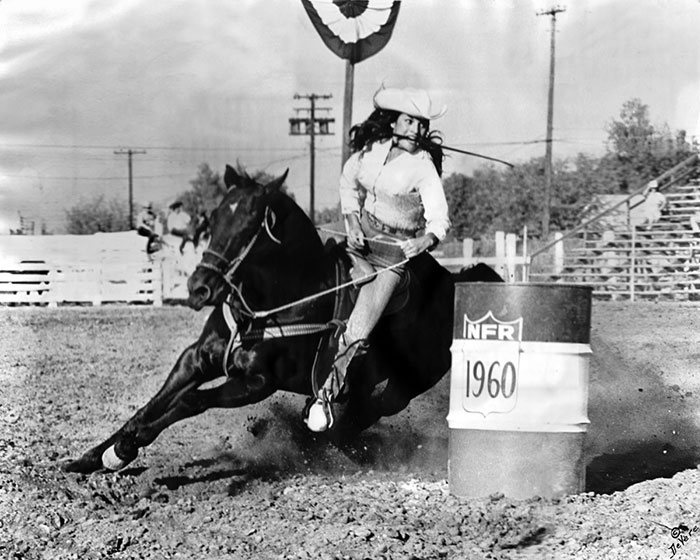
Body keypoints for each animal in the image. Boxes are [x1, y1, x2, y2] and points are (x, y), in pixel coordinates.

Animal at [65, 165, 500, 472]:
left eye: (249, 225)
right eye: (215, 218)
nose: (199, 288)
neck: (264, 306)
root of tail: (456, 282)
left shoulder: (258, 382)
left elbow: (189, 400)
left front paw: (125, 448)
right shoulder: (197, 358)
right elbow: (153, 404)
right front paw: (92, 456)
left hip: (403, 387)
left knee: (359, 419)